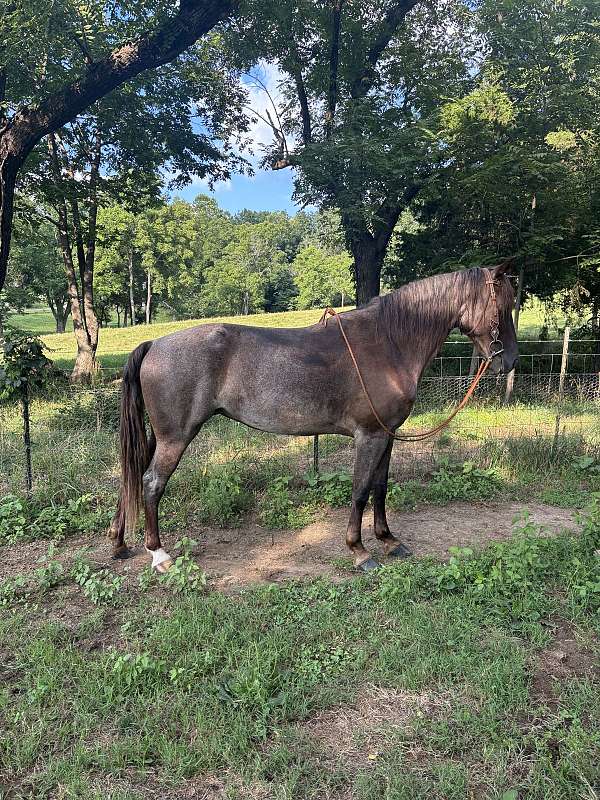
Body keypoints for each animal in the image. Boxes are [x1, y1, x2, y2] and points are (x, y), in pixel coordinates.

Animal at [109, 263, 518, 572]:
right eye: (502, 307)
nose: (509, 361)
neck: (388, 343)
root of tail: (153, 344)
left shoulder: (387, 435)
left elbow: (380, 488)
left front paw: (388, 540)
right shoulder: (370, 435)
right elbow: (360, 490)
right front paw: (359, 551)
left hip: (158, 436)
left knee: (133, 474)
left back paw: (119, 543)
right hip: (176, 437)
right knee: (151, 483)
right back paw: (159, 554)